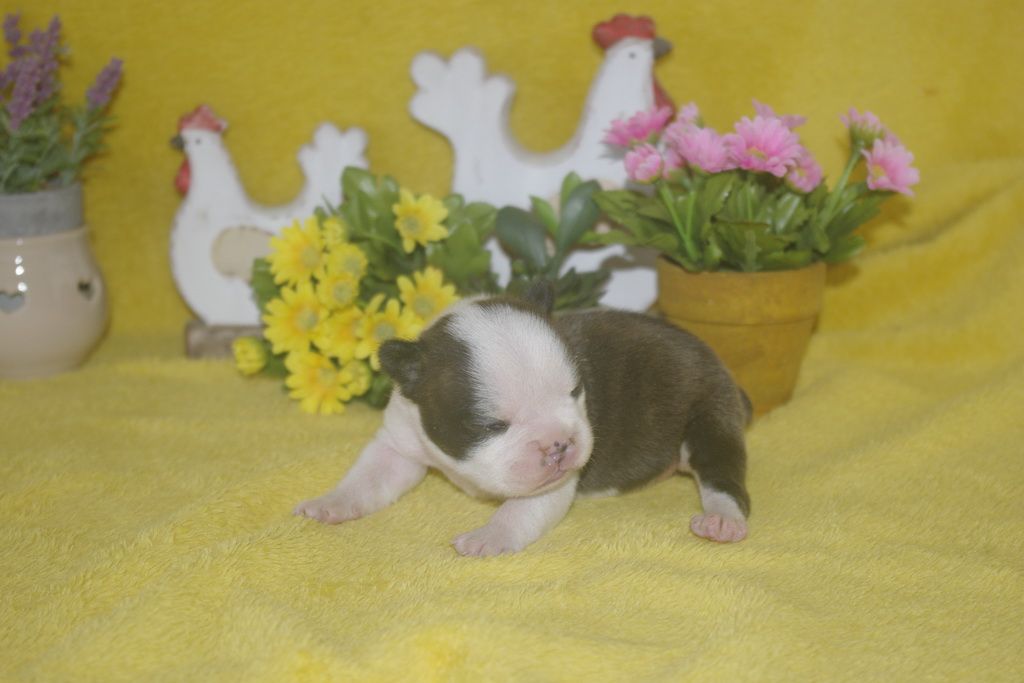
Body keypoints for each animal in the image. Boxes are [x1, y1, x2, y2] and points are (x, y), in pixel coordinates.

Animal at [292, 286, 749, 557]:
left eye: (575, 391)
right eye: (491, 425)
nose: (560, 443)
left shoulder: (553, 483)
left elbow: (518, 512)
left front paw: (488, 538)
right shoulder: (400, 441)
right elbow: (367, 479)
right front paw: (331, 503)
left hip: (709, 414)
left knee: (723, 477)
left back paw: (722, 520)